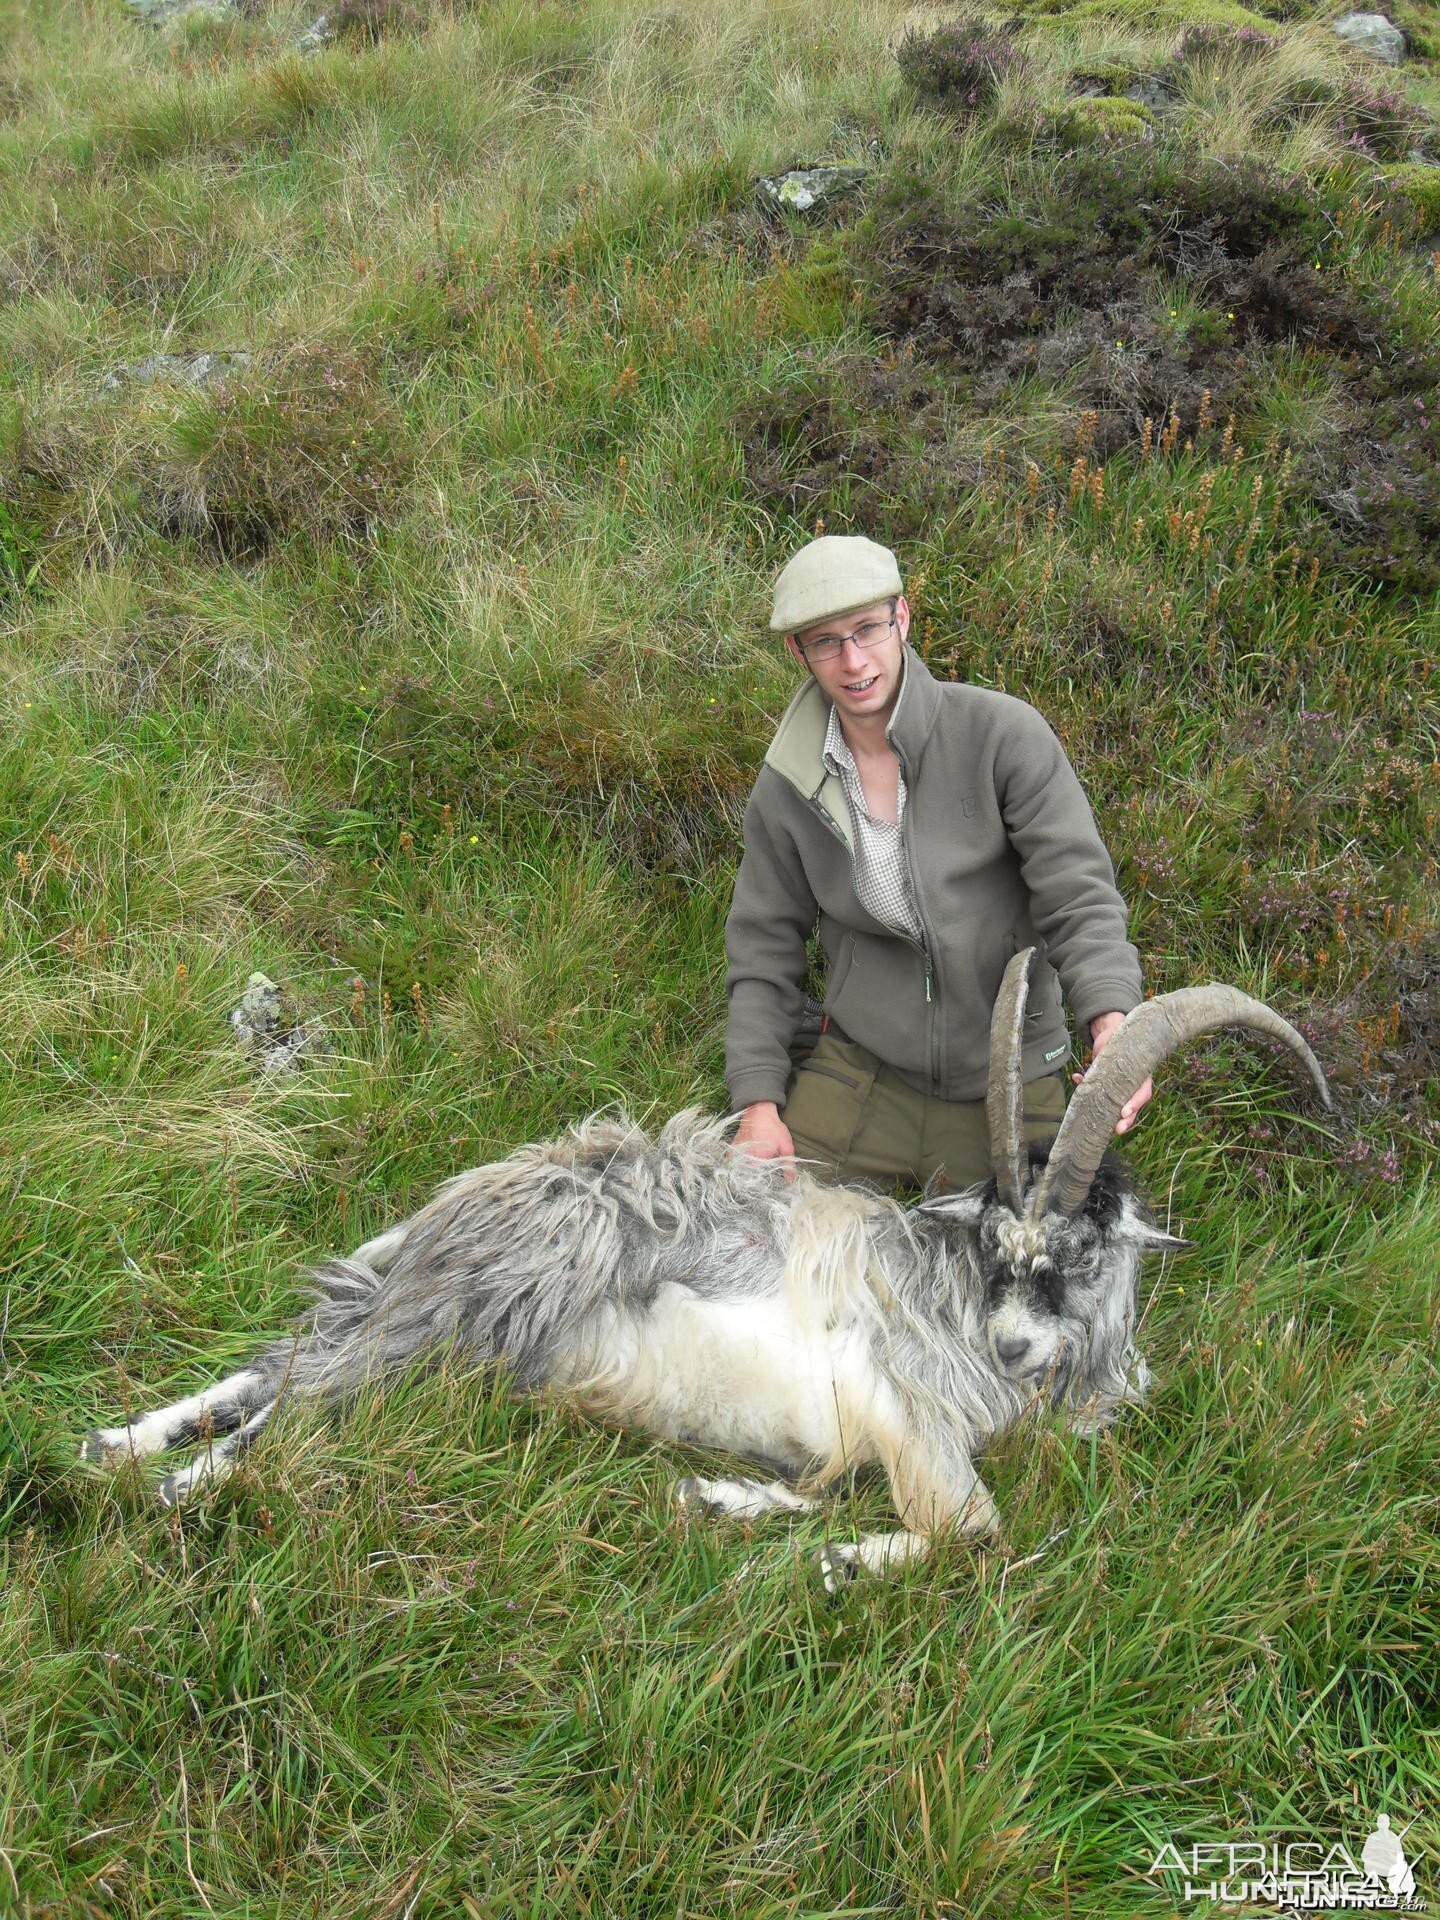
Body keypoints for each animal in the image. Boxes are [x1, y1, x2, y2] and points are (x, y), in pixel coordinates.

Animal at [84, 952, 1336, 1582]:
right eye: (997, 1250)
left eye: (1075, 1256)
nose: (1014, 1347)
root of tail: (465, 1199)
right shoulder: (903, 1402)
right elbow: (972, 1529)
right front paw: (838, 1562)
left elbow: (815, 1485)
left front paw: (725, 1497)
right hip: (483, 1299)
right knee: (302, 1394)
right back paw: (182, 1485)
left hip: (434, 1326)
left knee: (282, 1361)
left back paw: (116, 1447)